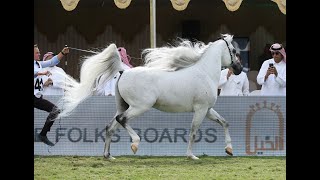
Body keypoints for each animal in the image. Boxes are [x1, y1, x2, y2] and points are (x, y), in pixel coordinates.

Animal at [57, 34, 242, 160]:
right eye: (233, 51)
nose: (239, 69)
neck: (204, 72)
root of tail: (123, 71)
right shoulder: (201, 109)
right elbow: (193, 131)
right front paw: (191, 156)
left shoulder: (208, 109)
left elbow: (225, 122)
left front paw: (229, 149)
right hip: (139, 107)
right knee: (121, 119)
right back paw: (134, 144)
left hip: (123, 106)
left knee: (111, 126)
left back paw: (108, 155)